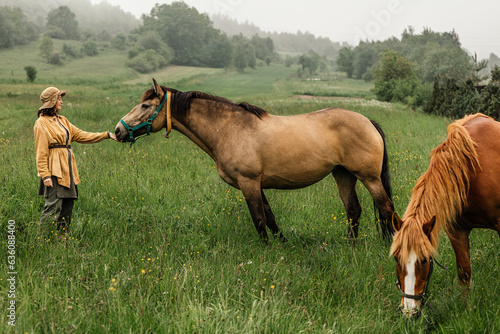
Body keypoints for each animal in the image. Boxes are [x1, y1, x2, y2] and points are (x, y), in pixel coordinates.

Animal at [114, 80, 394, 243]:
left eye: (145, 105)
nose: (118, 130)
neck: (229, 128)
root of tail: (369, 121)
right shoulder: (257, 184)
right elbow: (270, 218)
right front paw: (282, 245)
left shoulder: (248, 182)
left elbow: (258, 219)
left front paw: (267, 251)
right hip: (343, 174)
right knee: (353, 210)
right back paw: (351, 247)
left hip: (369, 177)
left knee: (386, 208)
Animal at [390, 113, 500, 318]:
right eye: (396, 258)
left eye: (424, 259)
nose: (409, 311)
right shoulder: (456, 230)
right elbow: (464, 272)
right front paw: (468, 309)